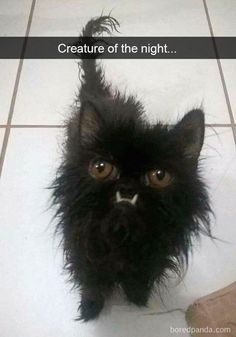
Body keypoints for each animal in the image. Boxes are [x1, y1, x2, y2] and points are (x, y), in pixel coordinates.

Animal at [51, 15, 210, 320]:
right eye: (101, 168)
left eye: (159, 176)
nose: (126, 186)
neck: (121, 238)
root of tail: (100, 95)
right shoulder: (83, 253)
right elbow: (92, 282)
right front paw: (90, 309)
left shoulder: (154, 257)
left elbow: (139, 278)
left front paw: (137, 298)